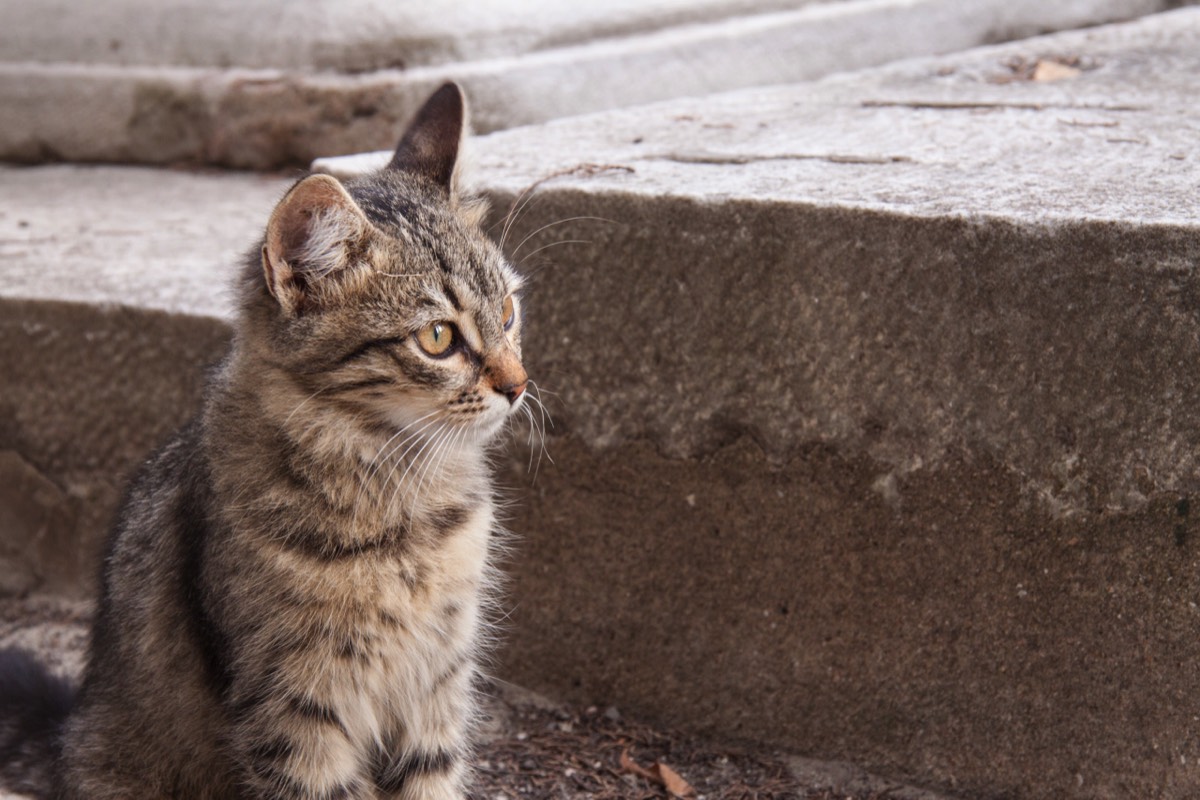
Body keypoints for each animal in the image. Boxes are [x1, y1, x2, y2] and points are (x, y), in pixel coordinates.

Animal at [0, 82, 532, 800]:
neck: (400, 495)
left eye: (508, 312)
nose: (519, 385)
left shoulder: (436, 685)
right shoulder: (296, 703)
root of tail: (67, 736)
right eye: (439, 338)